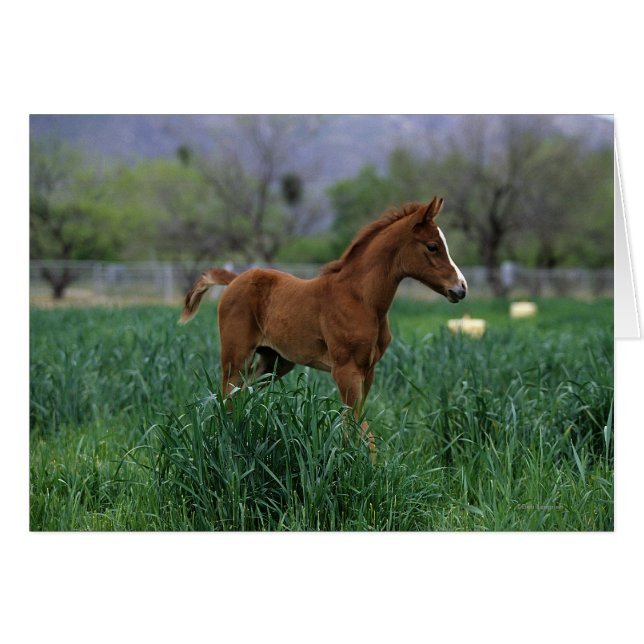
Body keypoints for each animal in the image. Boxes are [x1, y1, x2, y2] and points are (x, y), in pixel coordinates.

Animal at [180, 196, 467, 461]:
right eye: (432, 246)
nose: (461, 288)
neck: (361, 299)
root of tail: (235, 279)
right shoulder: (345, 369)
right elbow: (358, 424)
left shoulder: (368, 371)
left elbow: (354, 422)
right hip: (235, 356)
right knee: (227, 398)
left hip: (274, 362)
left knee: (243, 396)